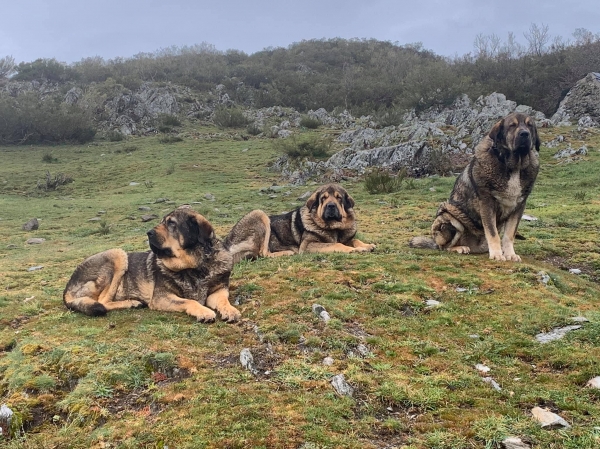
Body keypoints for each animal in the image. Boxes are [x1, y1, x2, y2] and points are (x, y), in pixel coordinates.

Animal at [65, 206, 241, 322]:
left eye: (171, 223)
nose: (148, 232)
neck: (194, 266)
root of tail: (68, 286)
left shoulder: (218, 291)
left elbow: (223, 300)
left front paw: (230, 310)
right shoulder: (162, 297)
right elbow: (189, 301)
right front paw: (204, 311)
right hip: (118, 254)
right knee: (102, 302)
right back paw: (131, 303)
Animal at [225, 182, 376, 260]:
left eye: (339, 198)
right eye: (323, 198)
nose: (331, 206)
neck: (335, 228)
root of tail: (227, 241)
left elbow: (355, 240)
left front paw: (366, 245)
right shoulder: (308, 245)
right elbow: (337, 244)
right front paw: (356, 250)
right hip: (259, 214)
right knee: (263, 253)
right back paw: (287, 253)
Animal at [410, 111, 540, 262]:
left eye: (530, 126)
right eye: (512, 125)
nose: (525, 134)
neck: (514, 166)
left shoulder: (518, 207)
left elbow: (509, 235)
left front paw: (510, 254)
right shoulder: (487, 203)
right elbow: (493, 233)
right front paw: (497, 254)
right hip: (449, 215)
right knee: (444, 247)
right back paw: (460, 248)